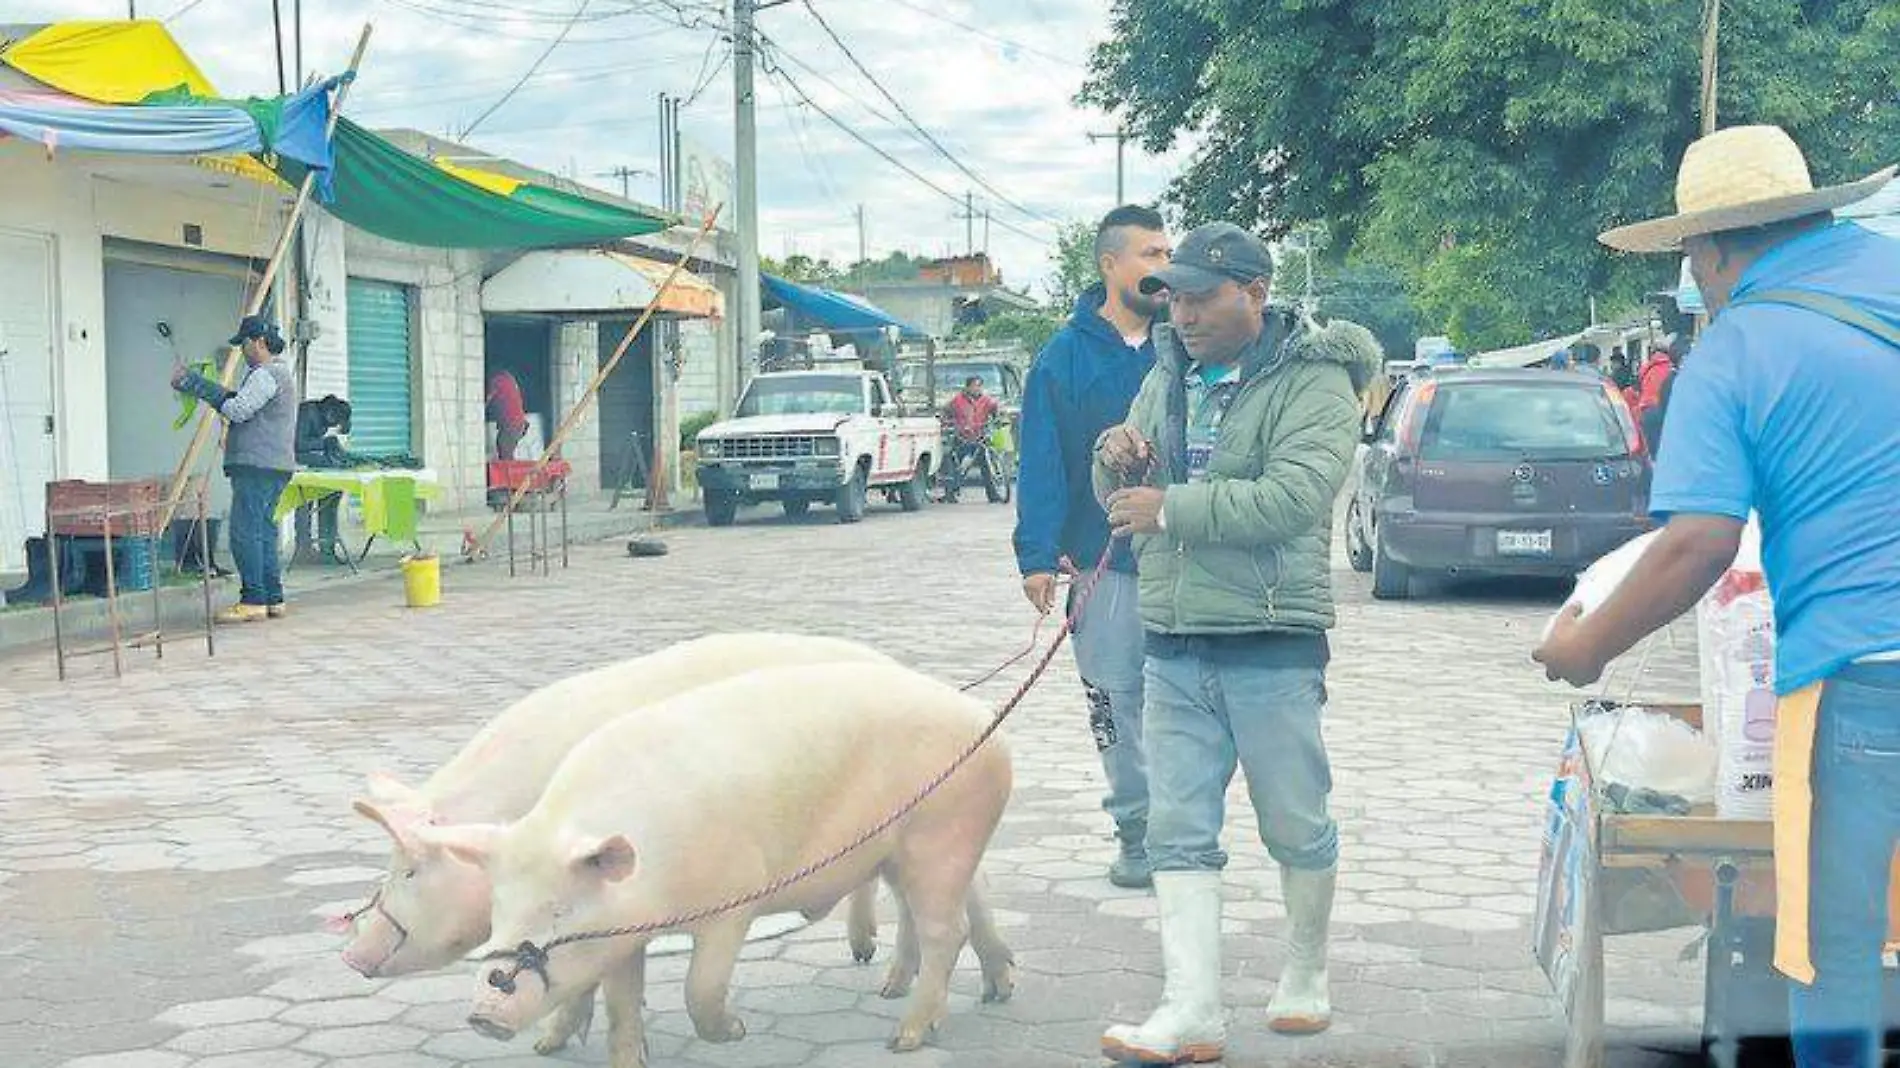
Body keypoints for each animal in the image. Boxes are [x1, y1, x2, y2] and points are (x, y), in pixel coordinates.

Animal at [336, 627, 896, 1048]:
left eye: (410, 870)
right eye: (390, 868)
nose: (350, 955)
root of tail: (884, 661)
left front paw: (554, 1039)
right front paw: (549, 1045)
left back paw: (870, 961)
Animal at [414, 657, 1010, 1064]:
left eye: (559, 911)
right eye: (499, 912)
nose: (483, 1013)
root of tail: (983, 718)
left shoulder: (734, 902)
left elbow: (699, 987)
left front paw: (736, 1033)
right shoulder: (624, 933)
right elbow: (621, 1004)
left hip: (942, 833)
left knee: (945, 930)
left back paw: (904, 1038)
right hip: (905, 852)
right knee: (939, 907)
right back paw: (956, 991)